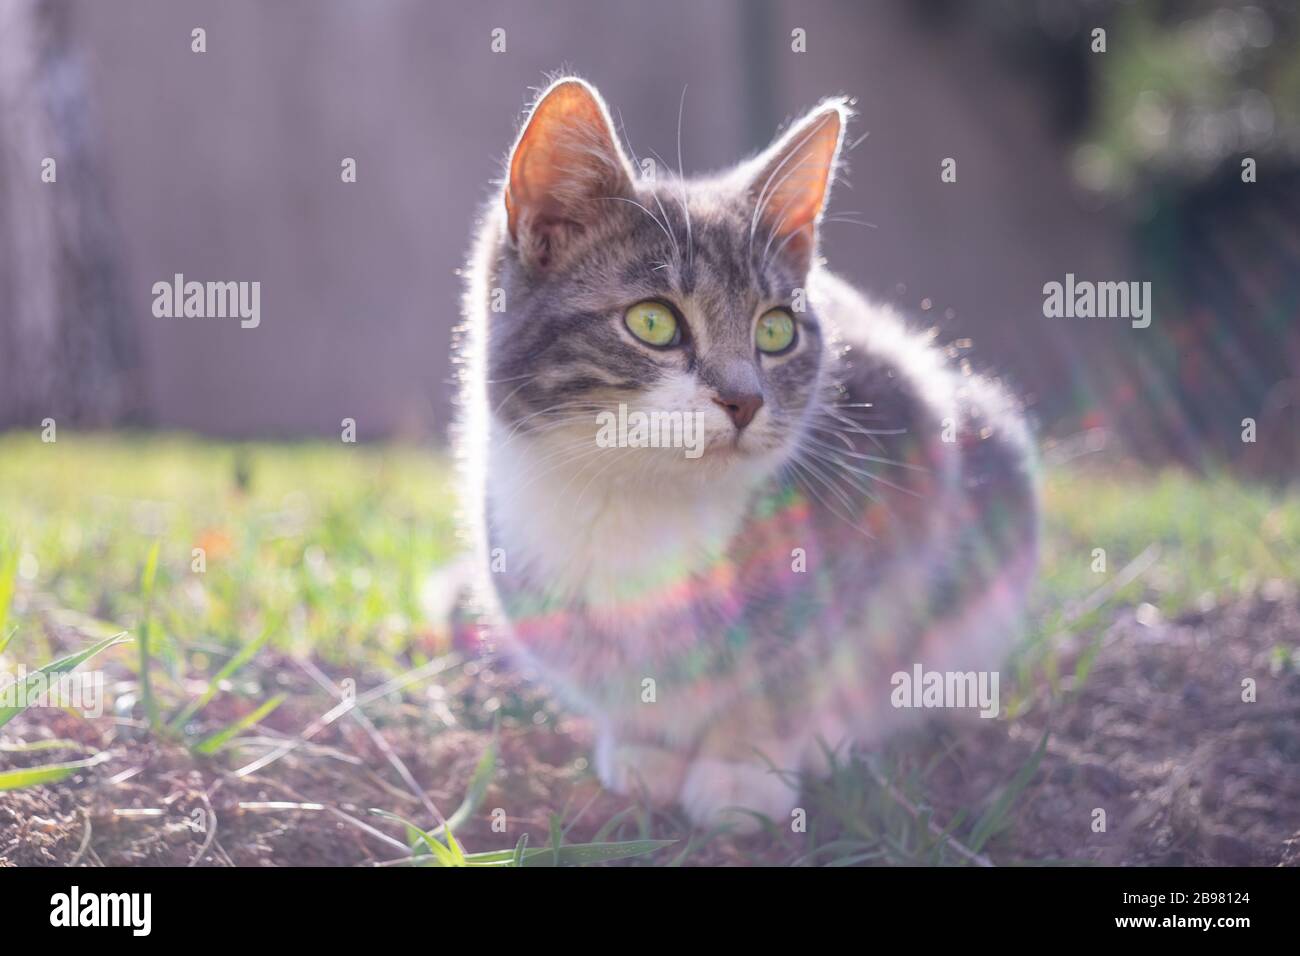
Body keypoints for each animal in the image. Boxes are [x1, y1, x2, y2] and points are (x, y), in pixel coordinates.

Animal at [457, 78, 1034, 832]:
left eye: (777, 331)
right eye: (653, 321)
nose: (744, 399)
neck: (639, 501)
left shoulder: (908, 447)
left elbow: (803, 659)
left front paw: (742, 769)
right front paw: (645, 747)